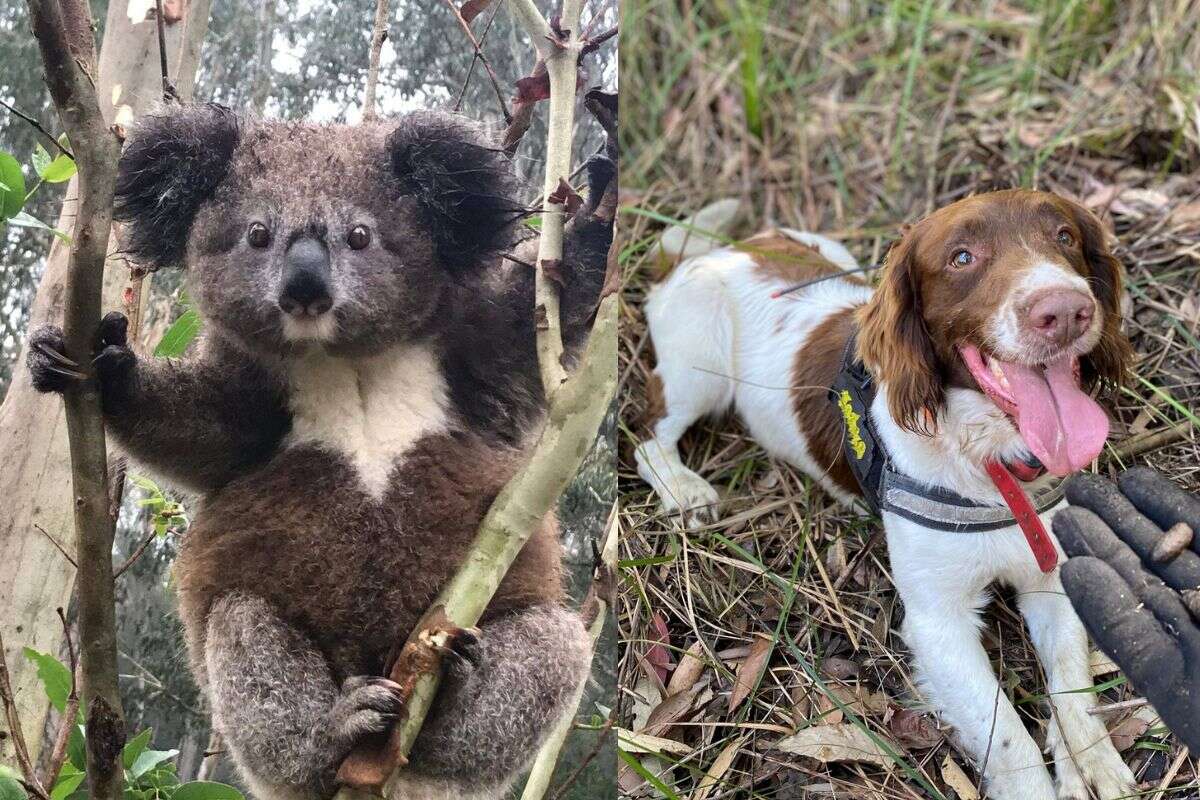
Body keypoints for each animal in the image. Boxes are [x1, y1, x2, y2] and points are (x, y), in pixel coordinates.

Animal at [633, 191, 1137, 800]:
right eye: (962, 257)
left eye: (1064, 236)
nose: (1065, 311)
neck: (990, 464)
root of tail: (714, 252)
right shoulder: (938, 623)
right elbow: (1009, 741)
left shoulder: (1050, 577)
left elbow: (1073, 689)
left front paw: (1095, 765)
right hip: (697, 367)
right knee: (649, 435)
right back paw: (685, 489)